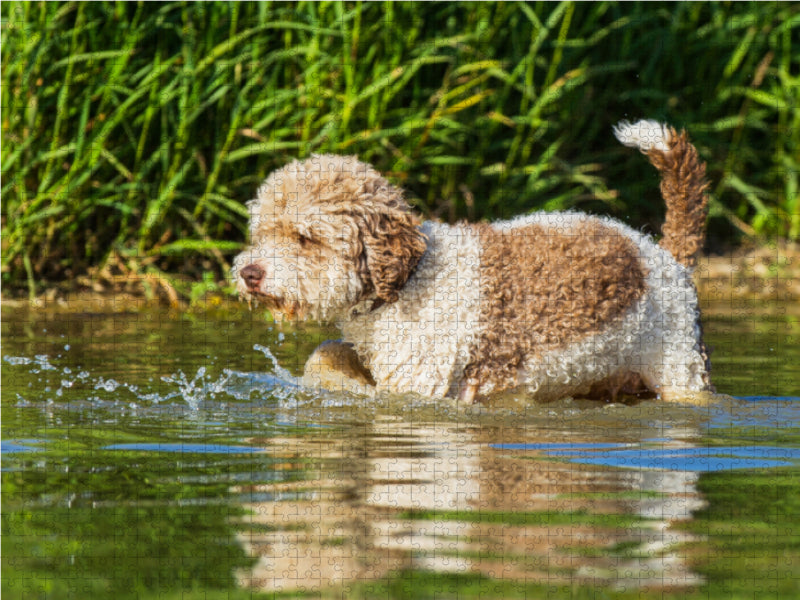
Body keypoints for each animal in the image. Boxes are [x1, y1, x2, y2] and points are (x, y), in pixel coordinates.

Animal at [231, 120, 712, 404]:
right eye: (261, 233)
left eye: (305, 238)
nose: (249, 273)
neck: (408, 280)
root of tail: (661, 251)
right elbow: (326, 354)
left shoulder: (419, 388)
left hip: (679, 365)